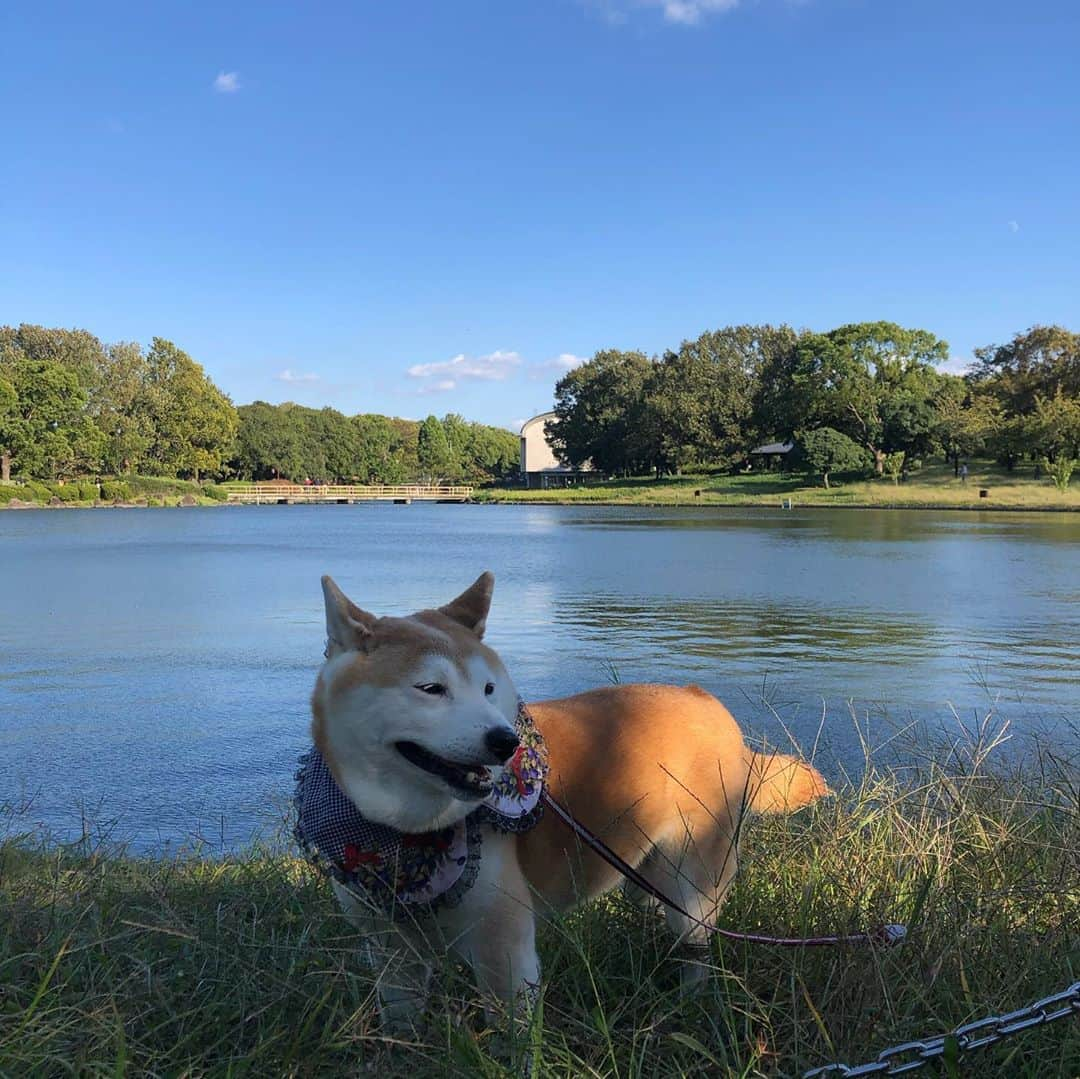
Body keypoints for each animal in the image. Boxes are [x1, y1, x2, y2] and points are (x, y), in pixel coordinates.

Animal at [302, 574, 825, 1028]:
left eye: (488, 689)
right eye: (431, 689)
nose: (505, 742)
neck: (405, 837)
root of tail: (708, 704)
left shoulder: (505, 951)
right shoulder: (391, 949)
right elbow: (400, 1019)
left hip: (693, 885)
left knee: (696, 949)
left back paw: (690, 1002)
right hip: (641, 872)